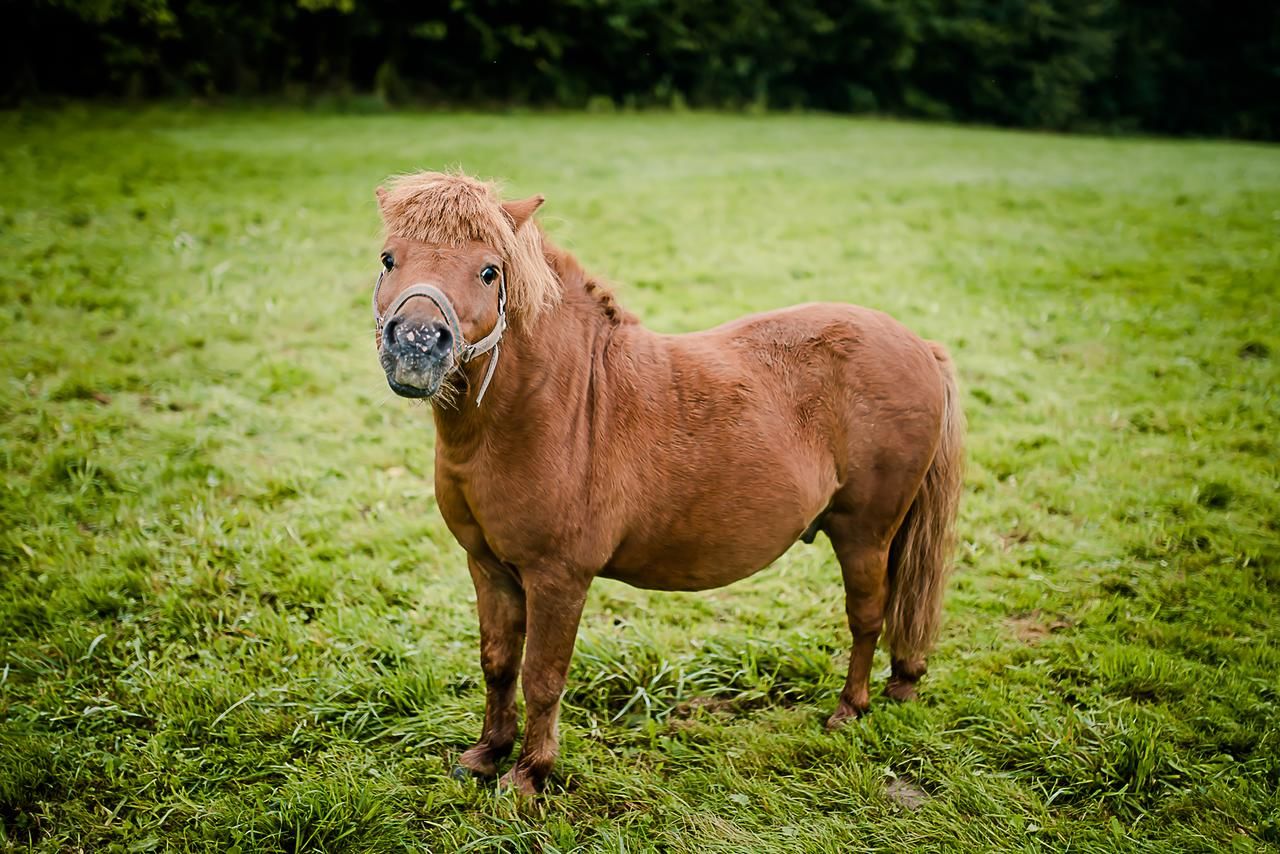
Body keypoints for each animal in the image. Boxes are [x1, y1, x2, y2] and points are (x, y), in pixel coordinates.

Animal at [368, 171, 962, 793]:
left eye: (489, 271)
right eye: (388, 259)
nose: (415, 343)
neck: (552, 405)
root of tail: (921, 347)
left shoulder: (558, 578)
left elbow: (543, 677)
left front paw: (529, 775)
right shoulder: (489, 568)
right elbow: (499, 664)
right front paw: (487, 754)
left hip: (864, 534)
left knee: (868, 615)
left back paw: (850, 708)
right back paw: (899, 685)